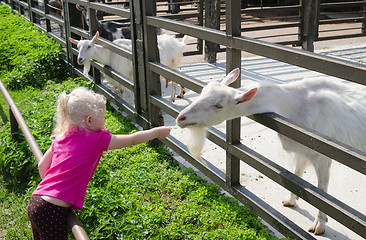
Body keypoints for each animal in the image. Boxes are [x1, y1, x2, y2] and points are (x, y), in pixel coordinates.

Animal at [176, 67, 366, 234]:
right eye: (203, 92)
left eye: (218, 105)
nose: (181, 118)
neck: (295, 104)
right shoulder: (301, 150)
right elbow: (296, 176)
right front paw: (291, 200)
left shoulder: (323, 156)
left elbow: (323, 194)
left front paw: (320, 224)